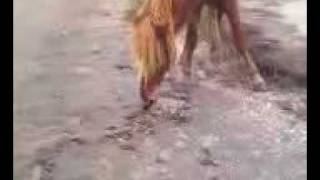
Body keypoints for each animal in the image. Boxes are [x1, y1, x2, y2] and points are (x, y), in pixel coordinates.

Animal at [131, 0, 266, 109]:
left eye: (156, 58)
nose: (146, 96)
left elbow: (238, 36)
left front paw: (256, 78)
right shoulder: (196, 5)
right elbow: (192, 36)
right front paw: (186, 73)